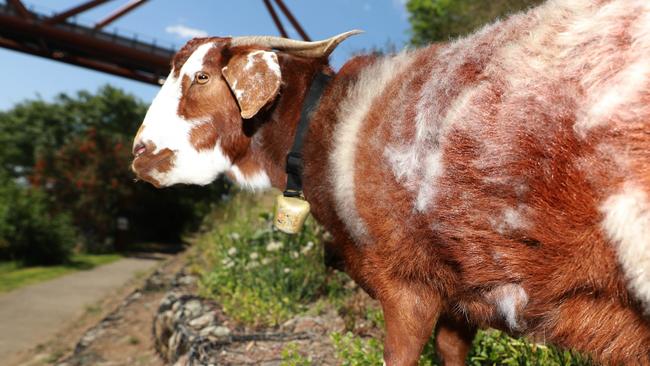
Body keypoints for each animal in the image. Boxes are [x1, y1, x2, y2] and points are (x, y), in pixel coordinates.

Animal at [130, 0, 648, 364]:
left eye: (201, 77)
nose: (140, 154)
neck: (325, 129)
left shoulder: (406, 285)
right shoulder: (460, 300)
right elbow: (451, 353)